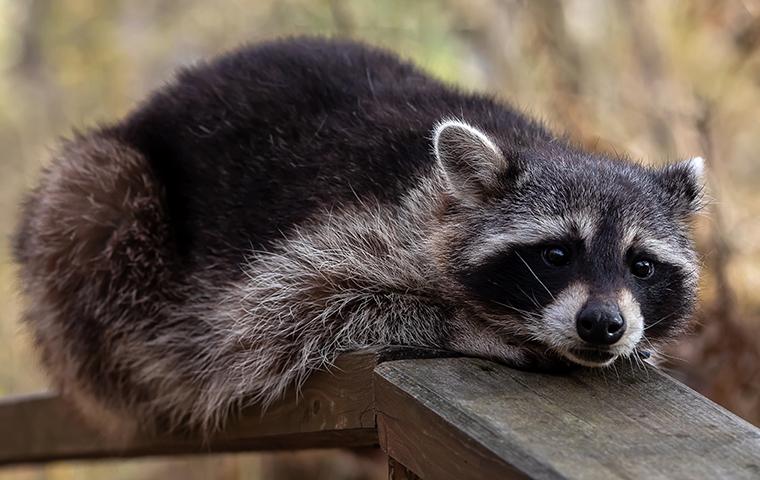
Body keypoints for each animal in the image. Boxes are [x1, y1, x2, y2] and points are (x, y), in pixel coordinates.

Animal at [13, 37, 704, 434]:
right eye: (556, 254)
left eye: (641, 265)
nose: (603, 325)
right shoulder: (354, 228)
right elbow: (277, 313)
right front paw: (465, 325)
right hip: (93, 211)